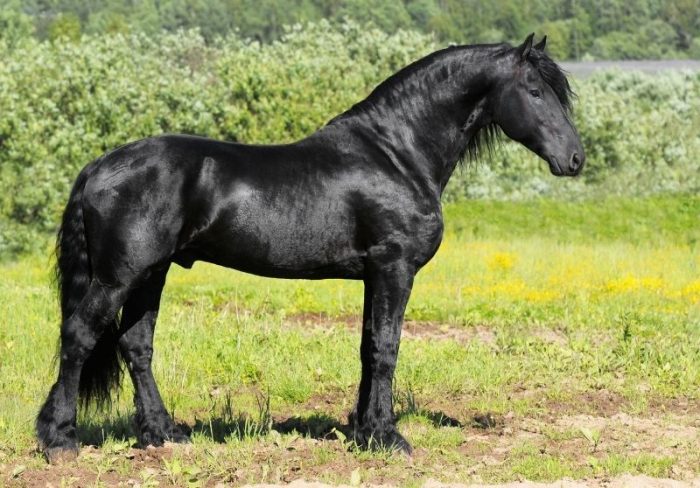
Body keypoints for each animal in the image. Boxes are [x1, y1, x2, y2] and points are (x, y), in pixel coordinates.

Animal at [37, 33, 584, 461]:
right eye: (535, 91)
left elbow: (367, 347)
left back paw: (162, 433)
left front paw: (364, 431)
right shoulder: (394, 268)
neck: (396, 153)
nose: (575, 159)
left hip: (152, 273)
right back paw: (60, 439)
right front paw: (389, 438)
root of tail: (99, 166)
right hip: (120, 276)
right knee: (79, 336)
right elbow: (387, 348)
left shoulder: (373, 274)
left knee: (136, 345)